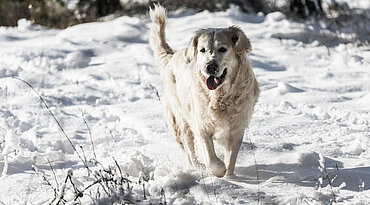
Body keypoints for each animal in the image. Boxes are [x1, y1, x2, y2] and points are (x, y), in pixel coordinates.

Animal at [149, 5, 258, 178]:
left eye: (223, 49)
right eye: (202, 50)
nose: (210, 67)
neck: (221, 96)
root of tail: (172, 57)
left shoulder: (237, 128)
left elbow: (231, 158)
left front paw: (229, 176)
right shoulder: (202, 126)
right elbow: (211, 158)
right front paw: (219, 170)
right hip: (181, 120)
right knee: (189, 149)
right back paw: (197, 166)